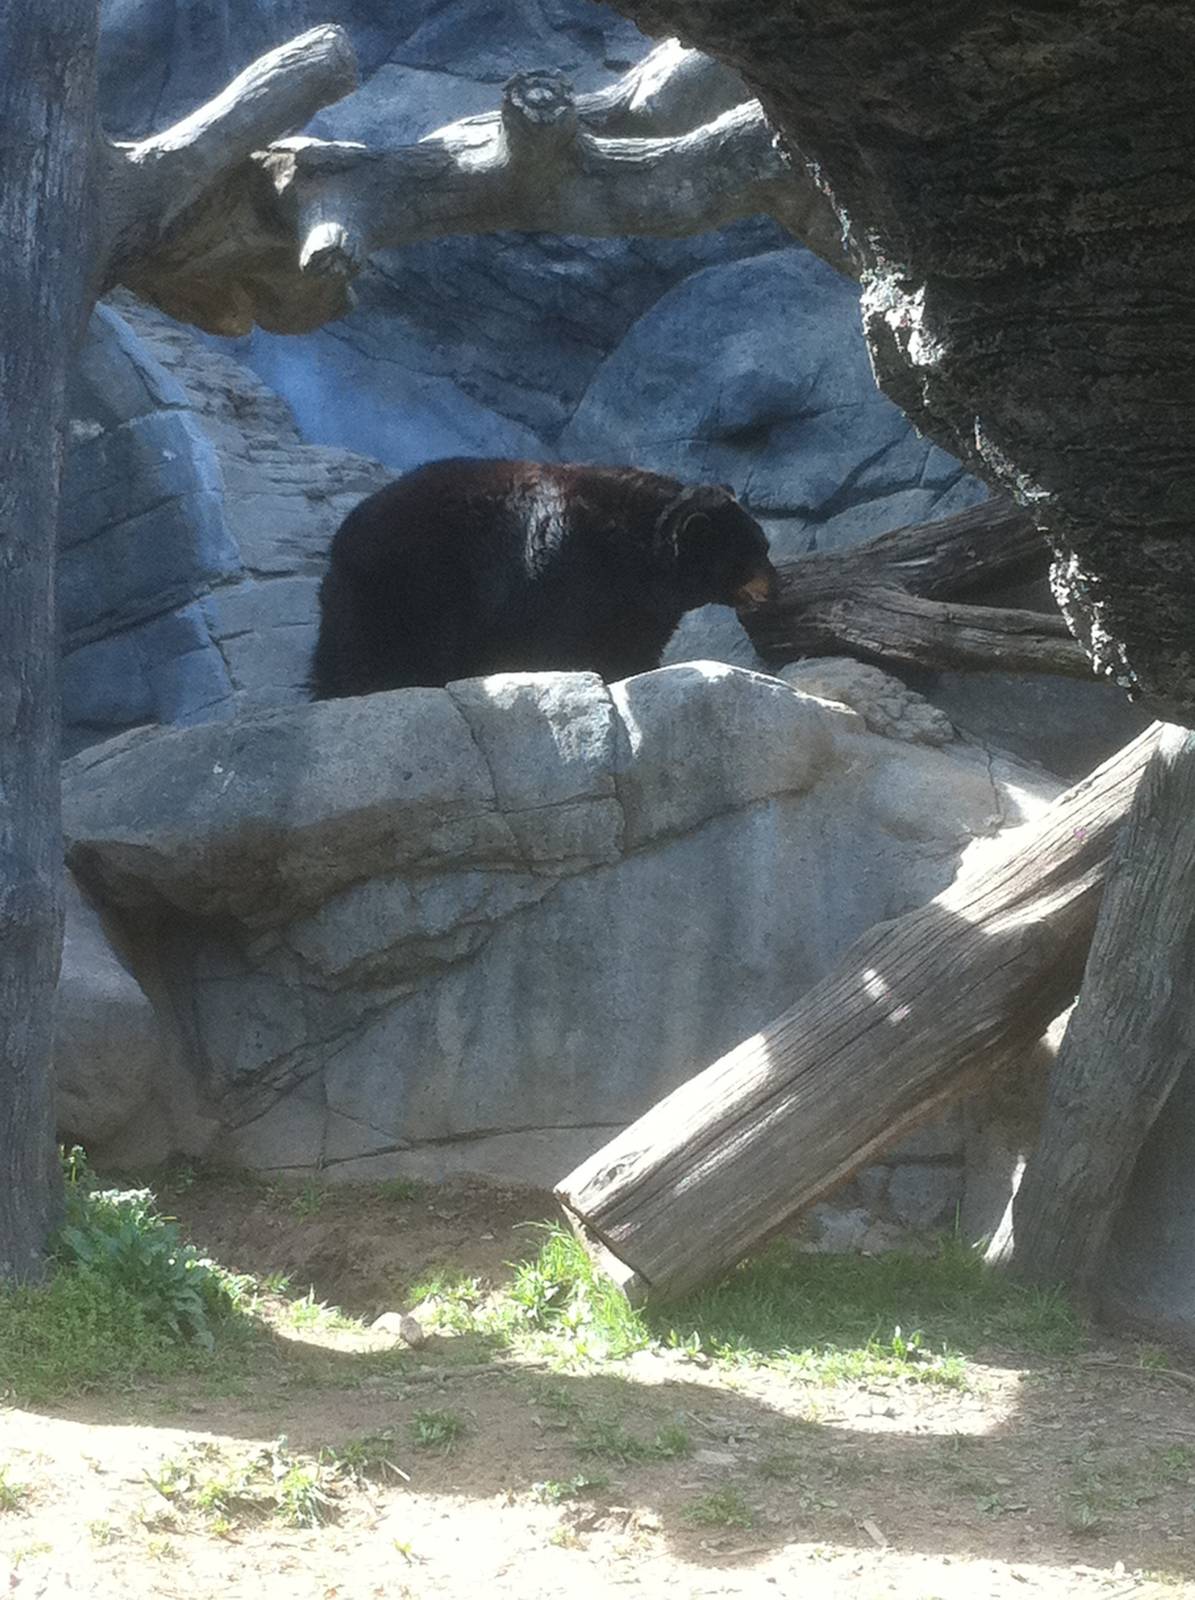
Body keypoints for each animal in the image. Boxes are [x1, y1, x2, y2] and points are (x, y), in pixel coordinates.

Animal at [309, 457, 778, 698]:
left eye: (764, 547)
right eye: (753, 554)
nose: (775, 587)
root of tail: (341, 540)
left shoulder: (636, 605)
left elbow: (633, 641)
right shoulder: (570, 573)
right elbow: (565, 637)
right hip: (407, 585)